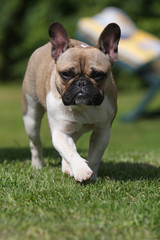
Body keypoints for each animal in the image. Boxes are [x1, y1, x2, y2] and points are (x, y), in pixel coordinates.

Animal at [22, 21, 120, 182]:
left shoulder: (103, 131)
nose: (81, 83)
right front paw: (81, 170)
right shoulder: (59, 131)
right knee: (36, 141)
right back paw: (38, 164)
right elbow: (69, 151)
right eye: (66, 74)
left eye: (98, 75)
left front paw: (91, 174)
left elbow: (95, 156)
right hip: (30, 115)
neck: (83, 107)